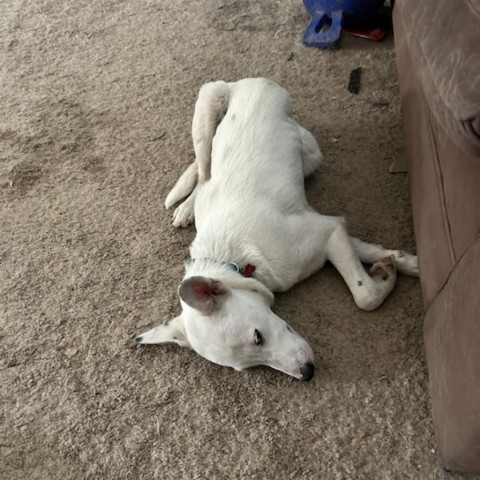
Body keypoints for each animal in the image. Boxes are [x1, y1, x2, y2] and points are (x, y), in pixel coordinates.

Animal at [134, 77, 416, 380]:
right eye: (246, 366)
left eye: (257, 336)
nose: (307, 373)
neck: (236, 261)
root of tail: (245, 81)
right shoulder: (326, 228)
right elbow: (371, 256)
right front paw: (397, 264)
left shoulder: (327, 231)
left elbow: (365, 294)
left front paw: (401, 269)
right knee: (203, 171)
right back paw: (188, 206)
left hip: (246, 124)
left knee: (203, 168)